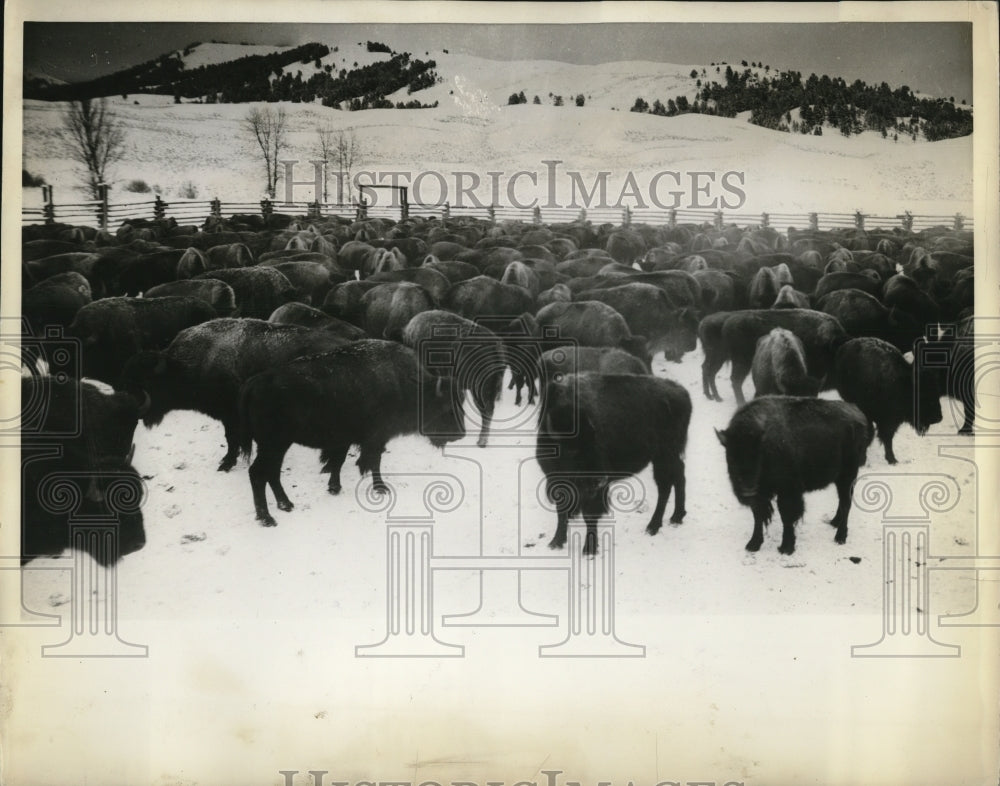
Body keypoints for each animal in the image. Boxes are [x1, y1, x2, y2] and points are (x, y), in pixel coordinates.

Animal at [237, 338, 464, 528]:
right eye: (445, 408)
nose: (460, 434)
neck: (407, 386)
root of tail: (253, 383)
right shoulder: (376, 439)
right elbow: (373, 462)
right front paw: (381, 488)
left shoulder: (344, 440)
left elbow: (339, 462)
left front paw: (334, 488)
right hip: (273, 444)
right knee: (258, 473)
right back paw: (267, 518)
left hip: (279, 445)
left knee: (272, 473)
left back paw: (286, 504)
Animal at [540, 372, 688, 552]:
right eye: (572, 450)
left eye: (595, 441)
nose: (601, 479)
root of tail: (682, 393)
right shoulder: (558, 483)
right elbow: (561, 513)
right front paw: (556, 542)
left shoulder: (593, 492)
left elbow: (589, 515)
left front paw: (589, 549)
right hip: (665, 457)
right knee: (678, 477)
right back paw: (676, 517)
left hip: (664, 457)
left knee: (666, 485)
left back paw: (653, 526)